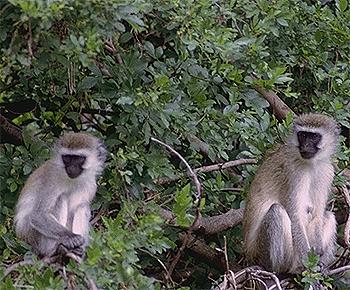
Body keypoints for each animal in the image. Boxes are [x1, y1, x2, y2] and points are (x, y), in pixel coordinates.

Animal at [243, 113, 340, 274]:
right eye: (302, 135)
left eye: (314, 136)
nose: (305, 146)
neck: (312, 165)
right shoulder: (294, 172)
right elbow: (295, 216)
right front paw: (310, 262)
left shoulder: (327, 171)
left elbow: (317, 215)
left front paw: (318, 256)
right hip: (262, 252)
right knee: (276, 211)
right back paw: (284, 269)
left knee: (329, 215)